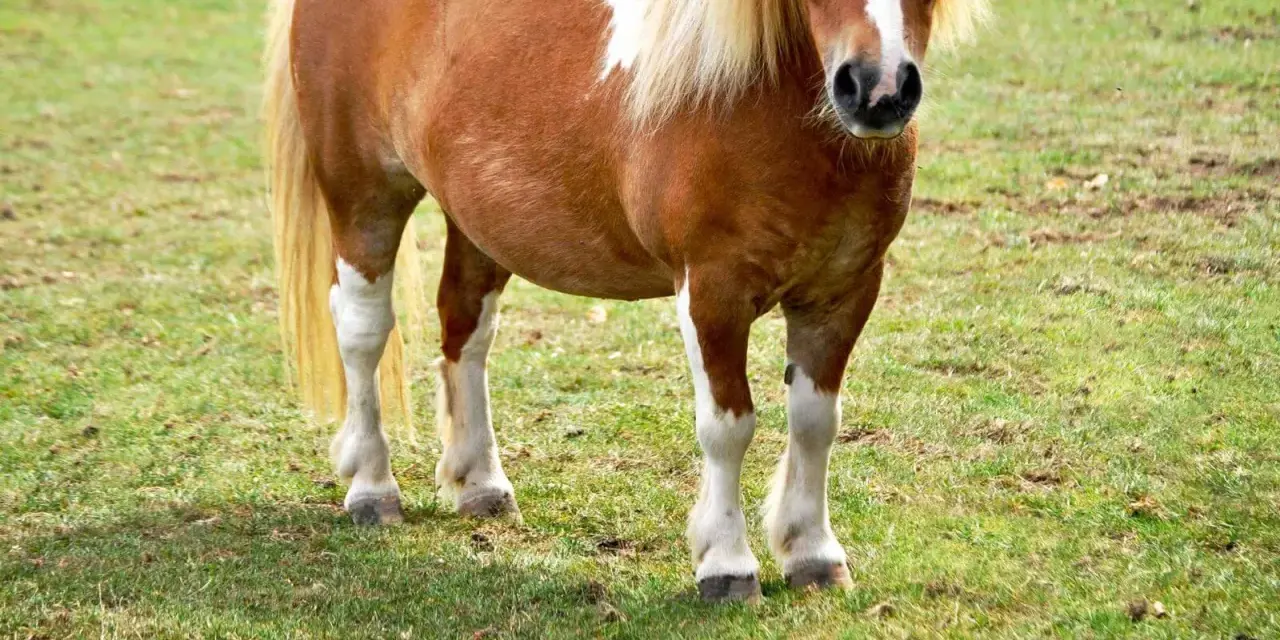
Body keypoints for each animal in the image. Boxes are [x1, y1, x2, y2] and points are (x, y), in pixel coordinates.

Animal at [264, 0, 986, 602]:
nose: (877, 90)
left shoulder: (843, 293)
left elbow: (815, 424)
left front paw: (812, 554)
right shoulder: (712, 295)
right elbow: (729, 428)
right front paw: (727, 566)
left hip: (474, 222)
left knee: (464, 330)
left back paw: (481, 486)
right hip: (363, 196)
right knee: (362, 331)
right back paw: (372, 489)